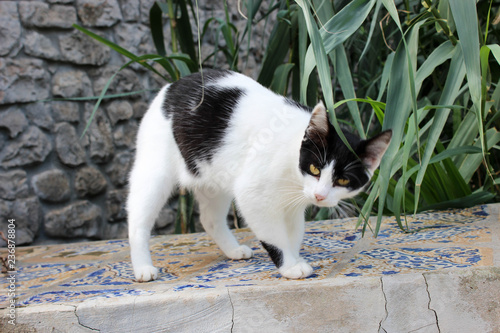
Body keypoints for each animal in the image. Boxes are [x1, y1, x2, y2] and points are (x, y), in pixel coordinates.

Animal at [126, 69, 390, 280]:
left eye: (343, 180)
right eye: (315, 168)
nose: (320, 196)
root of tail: (172, 85)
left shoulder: (293, 204)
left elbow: (294, 234)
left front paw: (294, 258)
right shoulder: (253, 195)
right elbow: (275, 236)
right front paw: (290, 266)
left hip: (215, 176)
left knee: (210, 219)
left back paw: (232, 250)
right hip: (155, 171)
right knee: (138, 219)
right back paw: (143, 268)